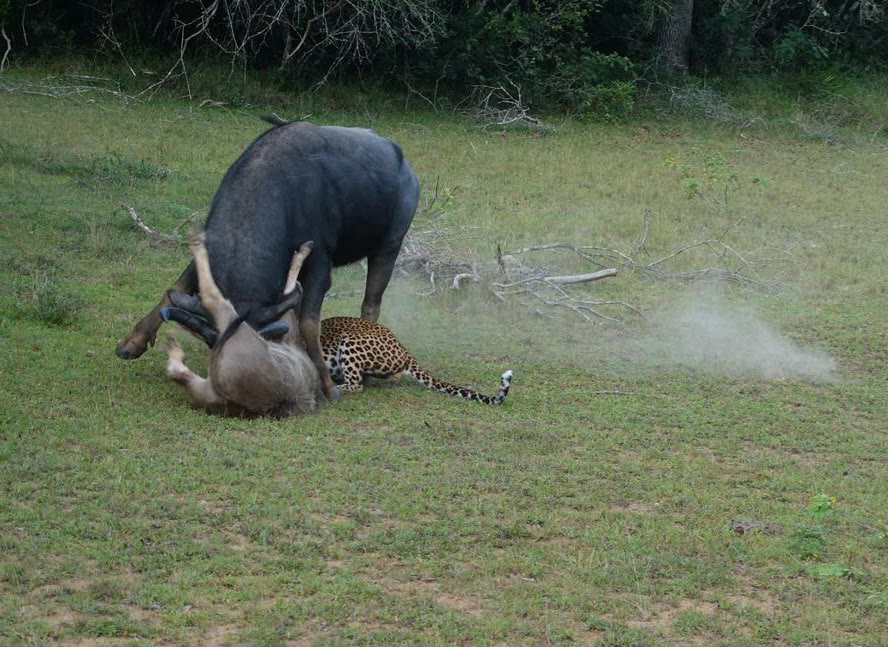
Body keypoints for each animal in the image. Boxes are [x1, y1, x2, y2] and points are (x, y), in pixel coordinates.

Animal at [115, 116, 421, 400]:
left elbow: (309, 321)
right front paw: (133, 342)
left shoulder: (321, 265)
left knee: (371, 303)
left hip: (389, 246)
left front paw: (326, 384)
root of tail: (406, 168)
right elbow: (174, 288)